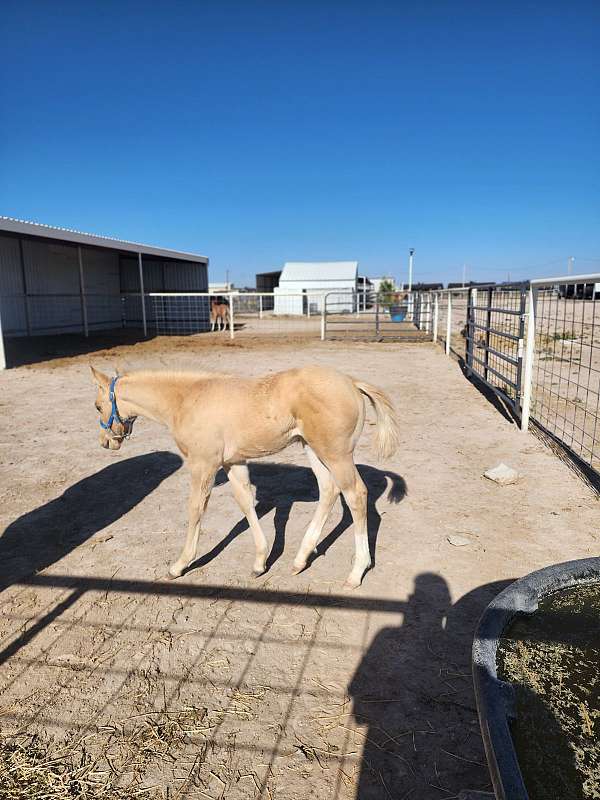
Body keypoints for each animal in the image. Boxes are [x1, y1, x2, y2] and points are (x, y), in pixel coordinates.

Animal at [91, 365, 400, 589]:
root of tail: (351, 382)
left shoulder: (203, 464)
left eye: (97, 406)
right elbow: (246, 504)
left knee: (356, 495)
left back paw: (356, 572)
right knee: (329, 491)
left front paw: (179, 565)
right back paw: (300, 559)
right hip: (313, 448)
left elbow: (196, 510)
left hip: (336, 454)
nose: (106, 442)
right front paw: (260, 563)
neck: (186, 400)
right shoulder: (233, 462)